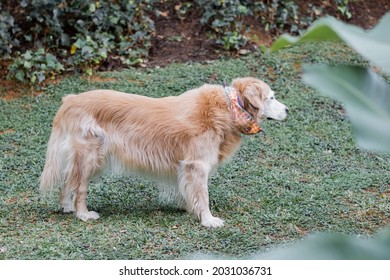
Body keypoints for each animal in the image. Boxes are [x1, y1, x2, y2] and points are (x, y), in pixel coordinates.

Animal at [39, 76, 288, 228]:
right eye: (272, 97)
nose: (288, 109)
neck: (230, 107)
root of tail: (70, 100)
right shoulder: (197, 164)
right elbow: (203, 195)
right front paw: (208, 219)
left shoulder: (187, 167)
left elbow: (191, 191)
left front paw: (191, 209)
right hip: (91, 156)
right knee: (79, 187)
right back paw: (82, 213)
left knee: (68, 181)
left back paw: (67, 207)